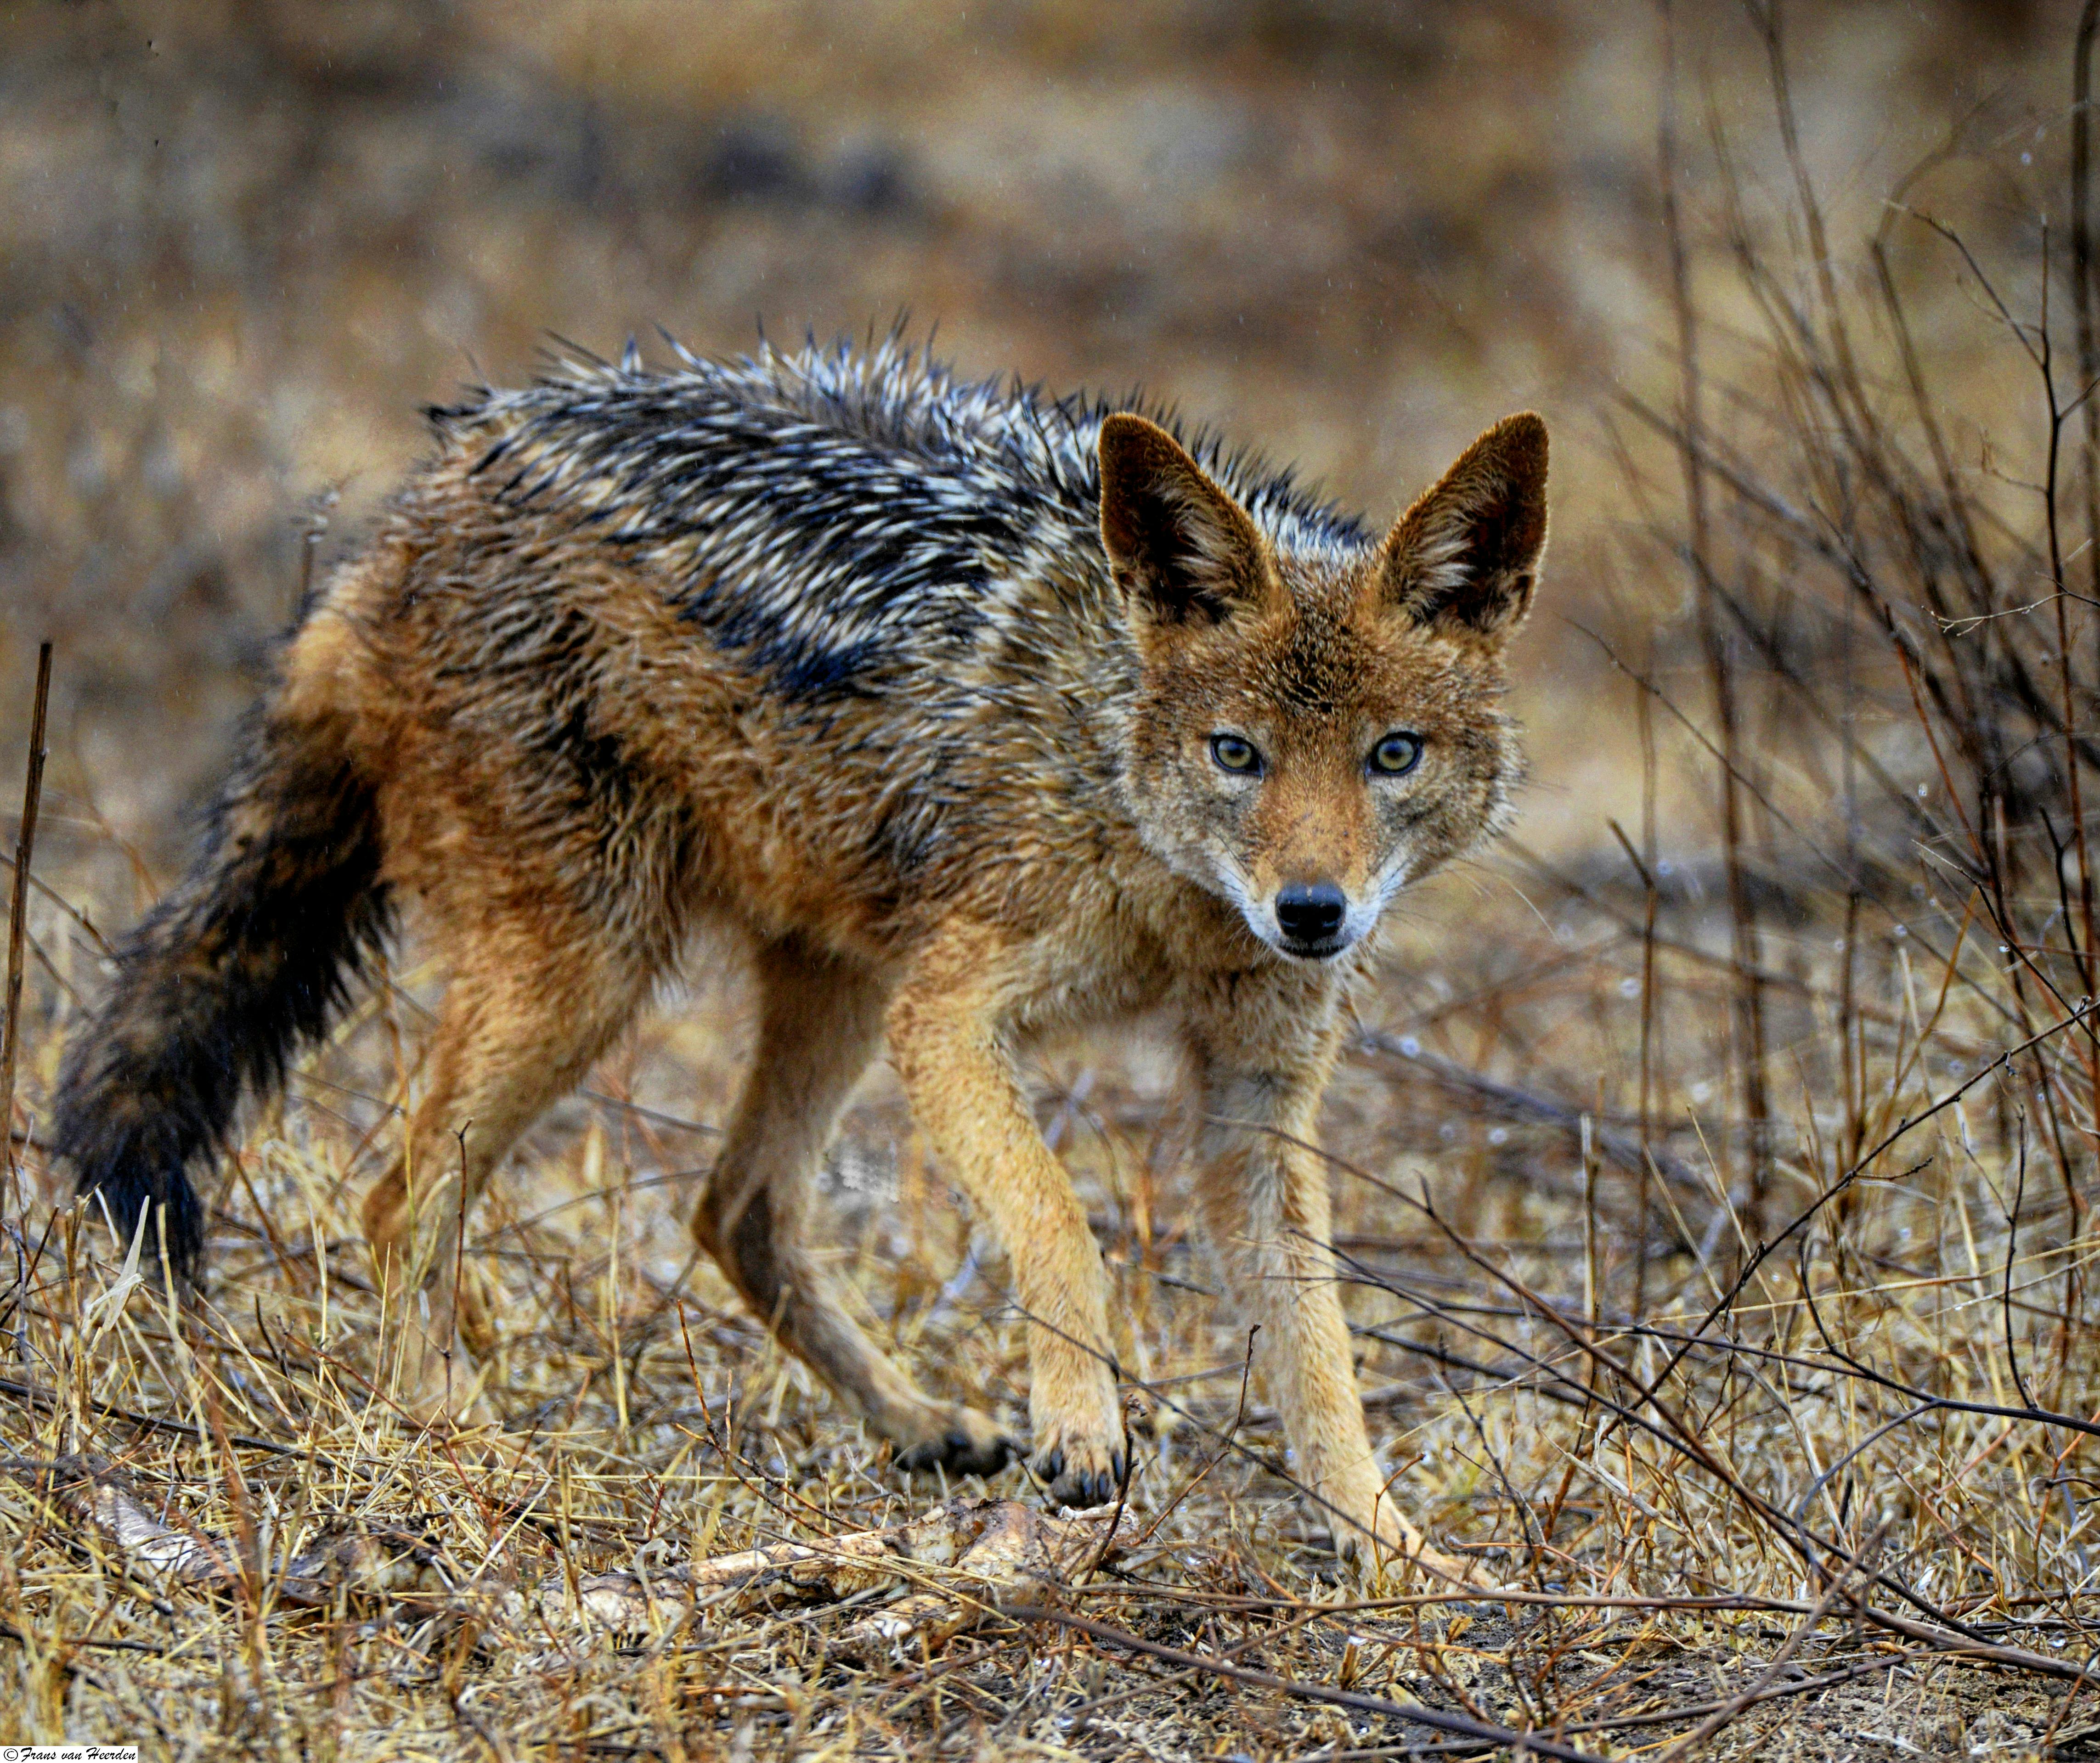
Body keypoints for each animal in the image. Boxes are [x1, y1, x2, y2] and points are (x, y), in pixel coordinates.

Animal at [51, 336, 1547, 1580]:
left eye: (1391, 756)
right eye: (1236, 753)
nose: (1313, 913)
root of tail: (421, 500)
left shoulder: (1251, 1099)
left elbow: (1320, 1355)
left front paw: (1400, 1554)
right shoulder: (952, 1016)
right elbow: (1058, 1218)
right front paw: (1083, 1424)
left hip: (829, 986)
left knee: (736, 1207)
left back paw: (918, 1419)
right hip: (600, 979)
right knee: (399, 1198)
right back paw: (462, 1436)